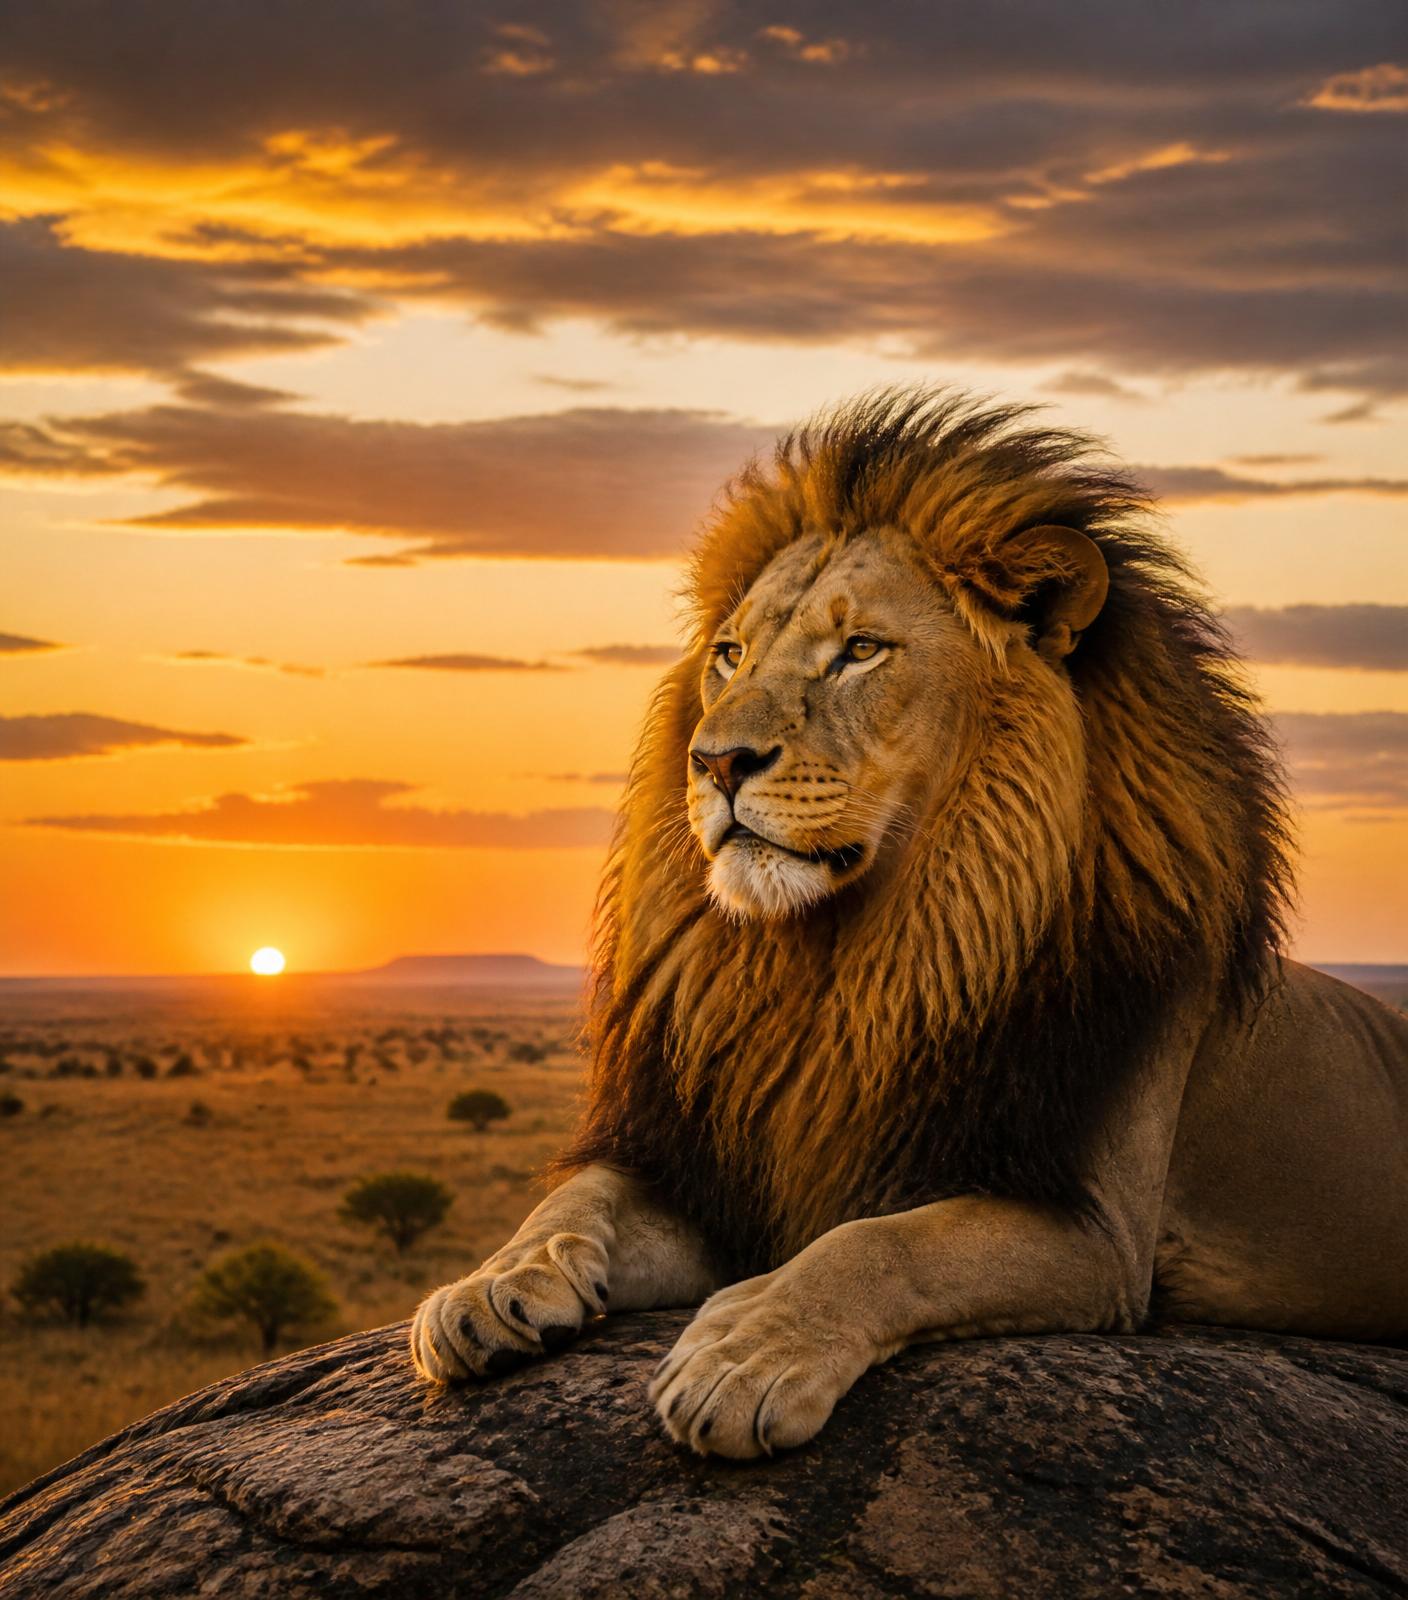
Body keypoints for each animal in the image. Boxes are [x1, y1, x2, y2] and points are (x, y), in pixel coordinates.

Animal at [410, 390, 1408, 1458]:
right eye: (730, 655)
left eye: (860, 651)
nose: (714, 762)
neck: (846, 965)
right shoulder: (721, 1172)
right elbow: (576, 1196)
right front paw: (490, 1285)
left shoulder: (1097, 1233)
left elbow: (883, 1244)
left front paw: (745, 1354)